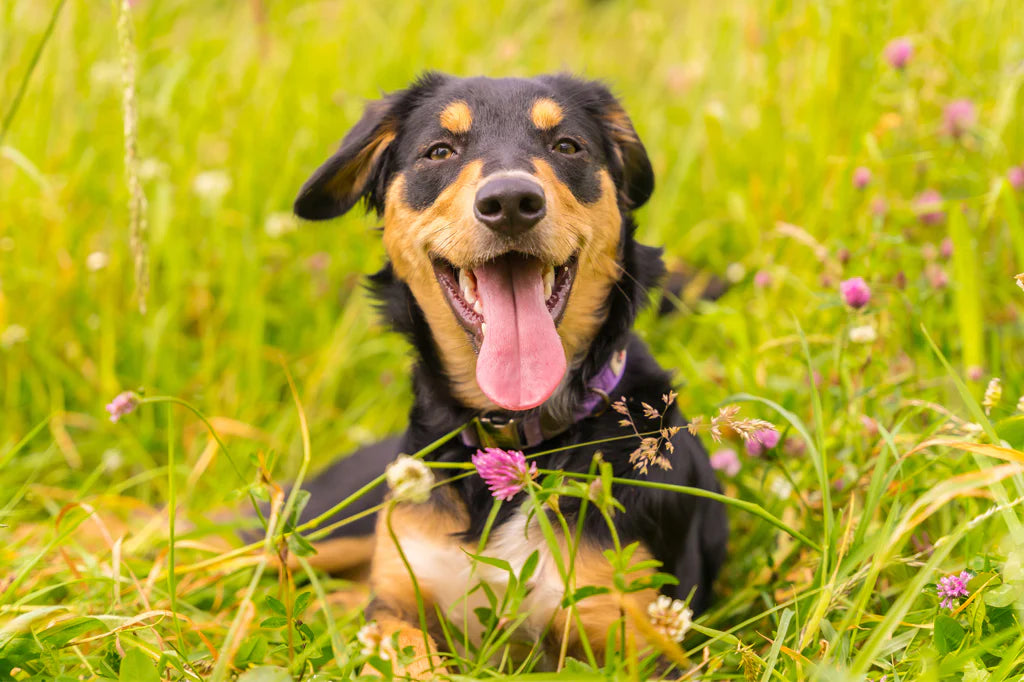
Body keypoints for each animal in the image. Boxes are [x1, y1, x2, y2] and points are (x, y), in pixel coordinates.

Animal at [288, 71, 729, 671]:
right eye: (439, 151)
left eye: (567, 146)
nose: (512, 202)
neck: (517, 437)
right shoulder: (394, 607)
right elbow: (414, 657)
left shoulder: (644, 642)